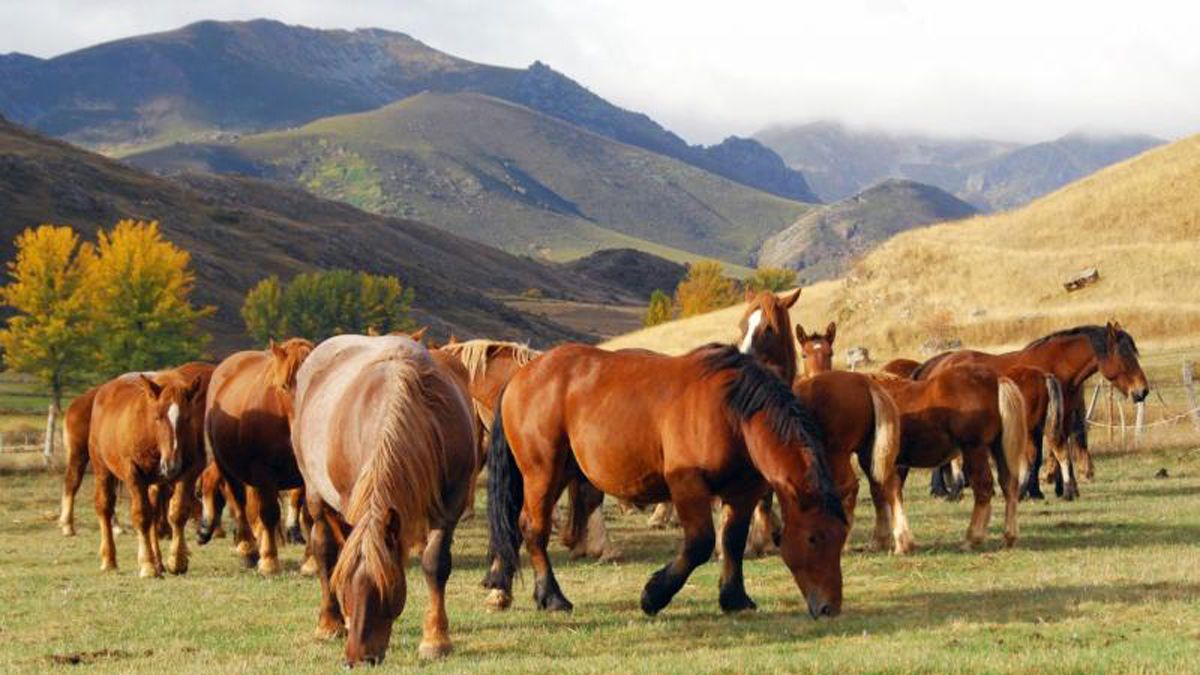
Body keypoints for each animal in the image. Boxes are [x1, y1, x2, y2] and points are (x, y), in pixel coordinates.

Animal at [207, 336, 316, 571]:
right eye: (284, 386)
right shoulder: (263, 472)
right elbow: (269, 512)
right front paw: (269, 560)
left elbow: (309, 515)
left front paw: (311, 561)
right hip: (228, 469)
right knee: (240, 506)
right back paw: (248, 550)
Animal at [288, 331, 475, 662]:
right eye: (346, 585)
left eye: (387, 586)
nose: (359, 657)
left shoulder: (451, 503)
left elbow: (435, 563)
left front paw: (436, 638)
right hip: (315, 495)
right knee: (325, 549)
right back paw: (329, 623)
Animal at [482, 343, 849, 619]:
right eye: (814, 538)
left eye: (841, 537)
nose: (830, 607)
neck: (731, 412)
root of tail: (523, 375)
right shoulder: (689, 488)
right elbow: (700, 544)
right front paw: (653, 595)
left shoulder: (741, 493)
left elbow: (732, 541)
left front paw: (734, 598)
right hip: (542, 473)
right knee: (534, 528)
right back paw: (551, 596)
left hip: (559, 473)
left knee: (516, 525)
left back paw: (500, 586)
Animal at [868, 365, 1027, 550]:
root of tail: (996, 380)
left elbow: (881, 493)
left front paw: (885, 540)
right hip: (997, 448)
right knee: (1009, 485)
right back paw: (1009, 536)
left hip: (974, 449)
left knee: (984, 487)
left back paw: (972, 538)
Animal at [912, 319, 1147, 494]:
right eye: (1124, 355)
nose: (1142, 391)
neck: (1054, 366)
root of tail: (937, 364)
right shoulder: (1038, 422)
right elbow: (1038, 455)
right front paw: (1034, 490)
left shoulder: (1060, 419)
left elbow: (1057, 450)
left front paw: (1062, 488)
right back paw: (942, 490)